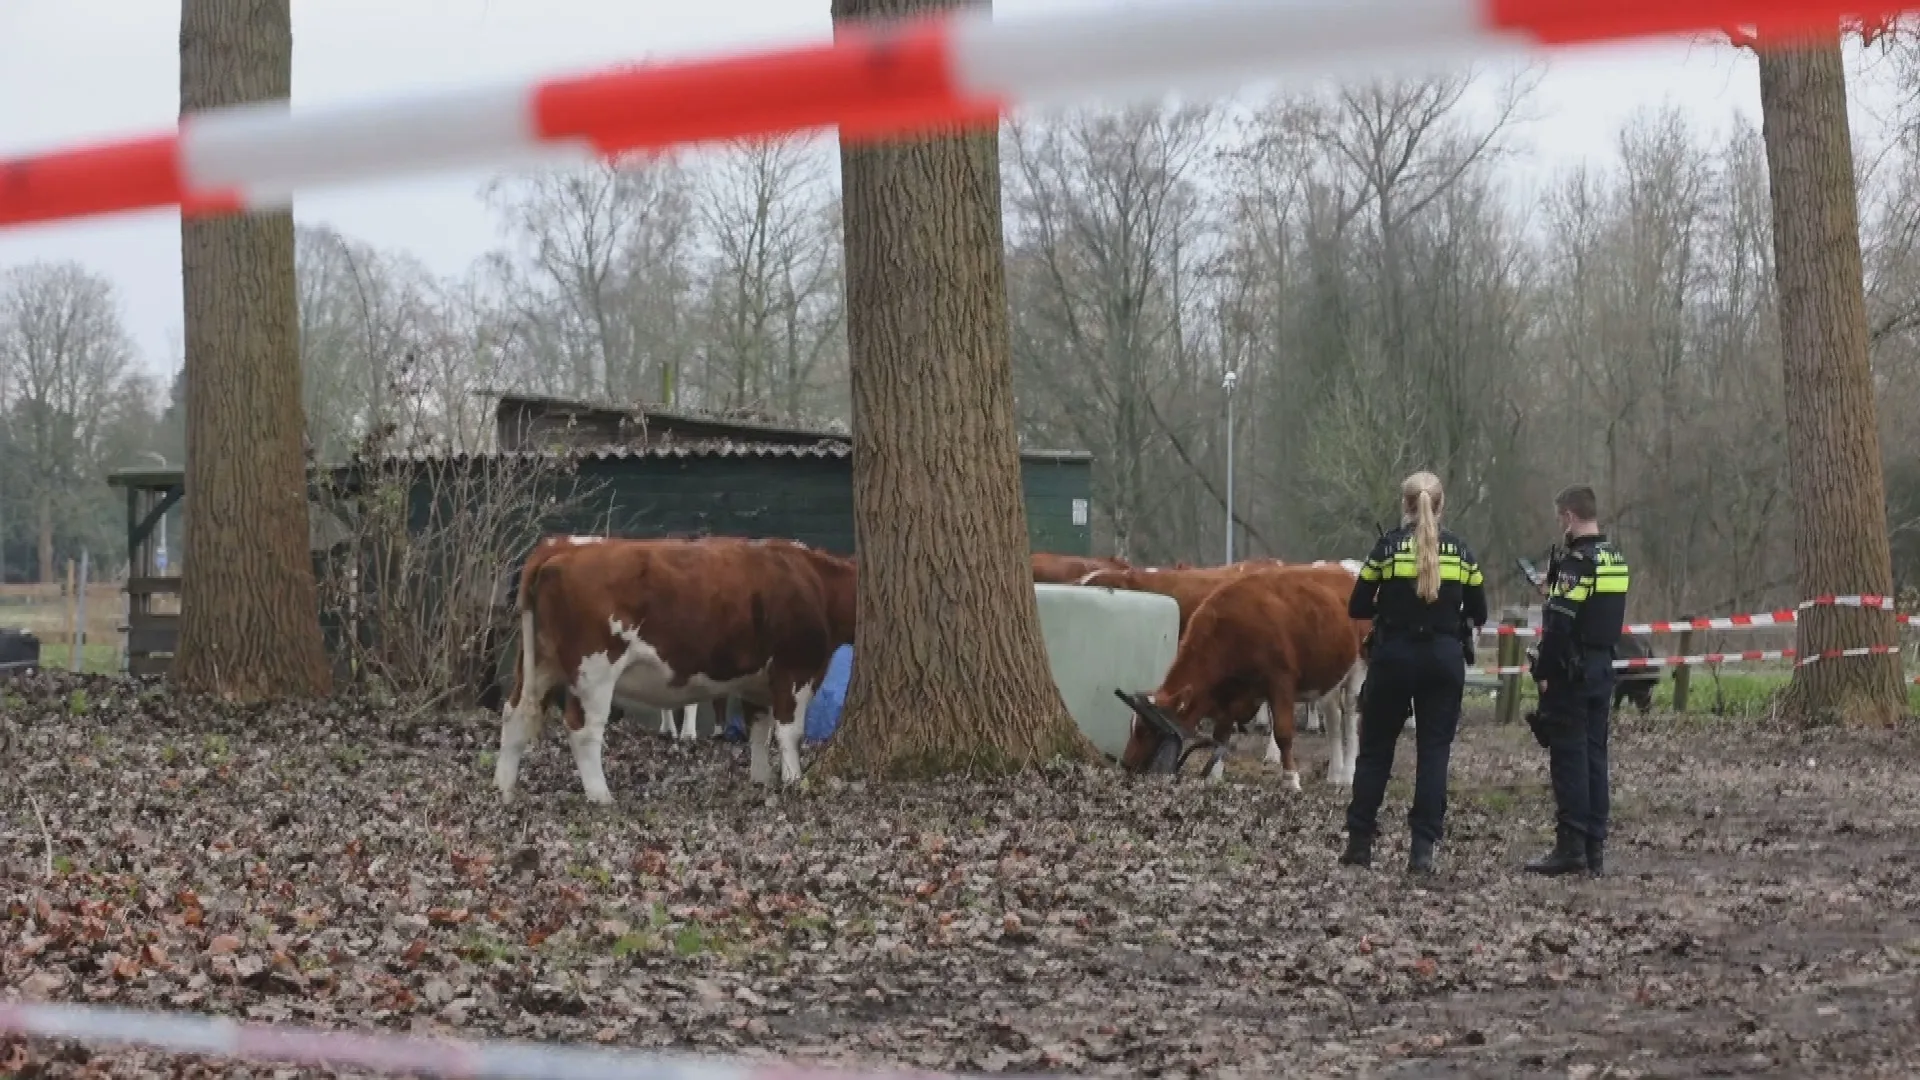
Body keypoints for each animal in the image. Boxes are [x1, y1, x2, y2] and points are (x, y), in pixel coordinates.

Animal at [494, 536, 856, 804]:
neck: (816, 583)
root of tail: (563, 546)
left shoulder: (757, 681)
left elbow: (759, 729)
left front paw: (761, 779)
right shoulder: (795, 670)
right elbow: (790, 732)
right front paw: (794, 782)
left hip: (540, 662)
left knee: (516, 713)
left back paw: (503, 787)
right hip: (594, 671)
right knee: (583, 729)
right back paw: (601, 796)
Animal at [1118, 564, 1362, 792]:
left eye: (1146, 730)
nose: (1126, 764)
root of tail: (1344, 570)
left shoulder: (1280, 682)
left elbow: (1283, 734)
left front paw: (1291, 780)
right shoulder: (1230, 694)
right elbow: (1220, 735)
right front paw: (1213, 777)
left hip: (1359, 670)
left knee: (1350, 719)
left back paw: (1348, 775)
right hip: (1331, 679)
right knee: (1333, 719)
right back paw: (1334, 775)